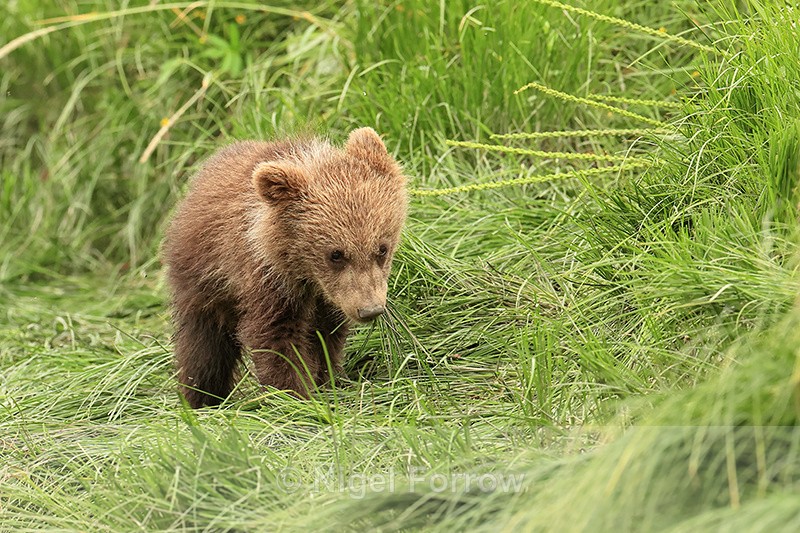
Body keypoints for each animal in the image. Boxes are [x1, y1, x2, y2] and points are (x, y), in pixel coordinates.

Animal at [163, 127, 408, 408]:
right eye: (335, 254)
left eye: (382, 248)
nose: (369, 310)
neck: (306, 275)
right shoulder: (268, 279)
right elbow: (276, 337)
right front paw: (293, 395)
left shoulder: (330, 299)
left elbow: (325, 336)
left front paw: (328, 381)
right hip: (204, 281)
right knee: (205, 347)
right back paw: (203, 398)